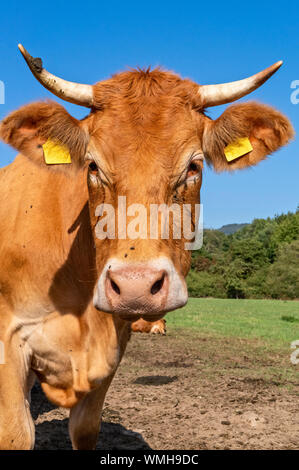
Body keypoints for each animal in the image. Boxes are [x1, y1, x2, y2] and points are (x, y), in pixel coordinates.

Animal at [0, 46, 296, 450]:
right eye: (92, 165)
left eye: (194, 166)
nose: (135, 286)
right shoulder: (9, 342)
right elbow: (17, 433)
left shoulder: (113, 347)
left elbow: (85, 429)